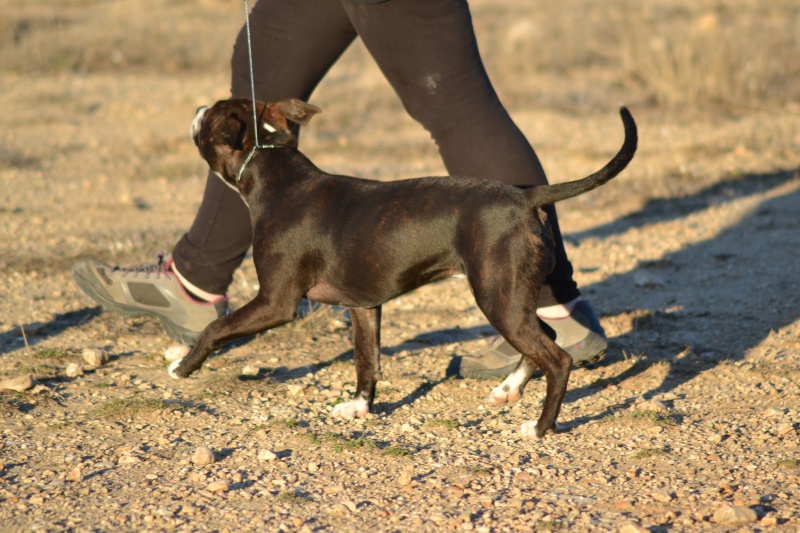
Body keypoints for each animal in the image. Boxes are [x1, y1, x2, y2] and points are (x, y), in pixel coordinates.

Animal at [170, 97, 636, 438]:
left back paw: (540, 428)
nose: (196, 106)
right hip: (511, 298)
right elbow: (367, 361)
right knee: (546, 341)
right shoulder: (362, 307)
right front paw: (360, 406)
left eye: (211, 114)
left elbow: (215, 328)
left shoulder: (275, 302)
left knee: (558, 358)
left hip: (496, 297)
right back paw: (507, 389)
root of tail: (526, 196)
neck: (276, 173)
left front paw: (183, 367)